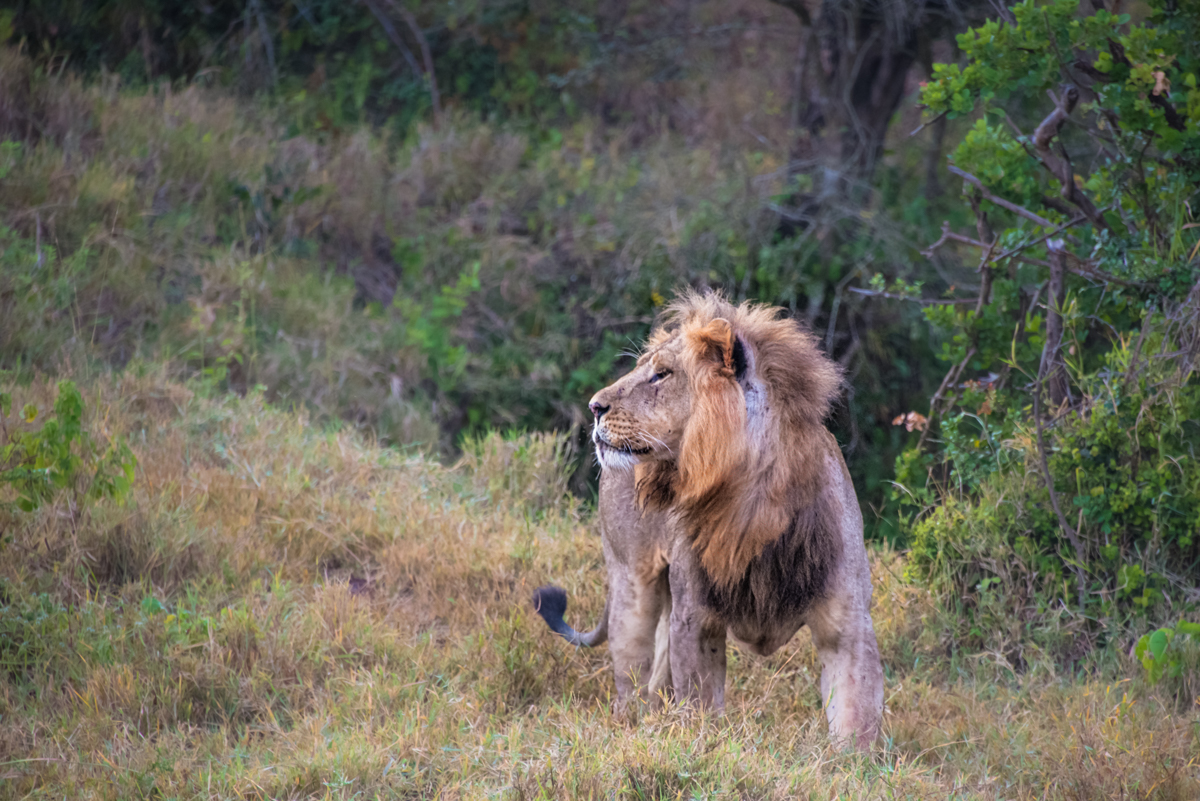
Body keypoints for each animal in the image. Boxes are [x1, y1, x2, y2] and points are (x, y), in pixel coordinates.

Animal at [535, 291, 883, 748]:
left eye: (661, 374)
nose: (594, 407)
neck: (751, 507)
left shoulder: (848, 625)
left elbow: (856, 717)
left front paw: (851, 763)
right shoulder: (695, 618)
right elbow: (700, 705)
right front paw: (702, 748)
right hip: (633, 584)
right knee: (632, 681)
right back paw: (630, 731)